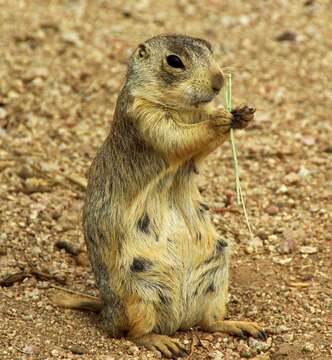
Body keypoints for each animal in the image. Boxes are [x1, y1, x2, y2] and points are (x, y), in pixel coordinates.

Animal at [53, 33, 264, 358]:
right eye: (174, 61)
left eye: (209, 48)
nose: (219, 81)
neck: (183, 108)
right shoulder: (144, 117)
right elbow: (179, 137)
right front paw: (219, 118)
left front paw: (242, 114)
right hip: (138, 293)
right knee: (133, 333)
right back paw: (163, 342)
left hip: (216, 278)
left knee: (207, 323)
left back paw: (242, 325)